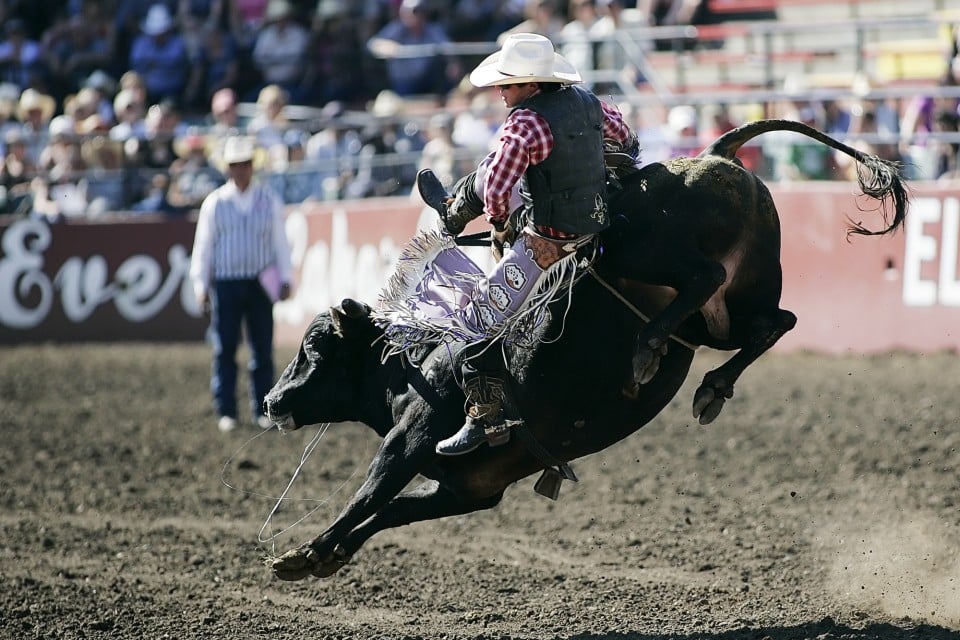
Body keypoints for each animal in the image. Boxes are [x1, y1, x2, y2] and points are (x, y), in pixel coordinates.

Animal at [262, 119, 908, 580]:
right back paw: (709, 386)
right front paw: (325, 557)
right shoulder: (470, 489)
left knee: (706, 280)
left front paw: (304, 552)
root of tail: (716, 155)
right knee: (774, 323)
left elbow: (367, 494)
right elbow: (389, 510)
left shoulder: (411, 440)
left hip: (639, 252)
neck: (418, 366)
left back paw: (650, 351)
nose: (270, 401)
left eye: (314, 347)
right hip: (726, 312)